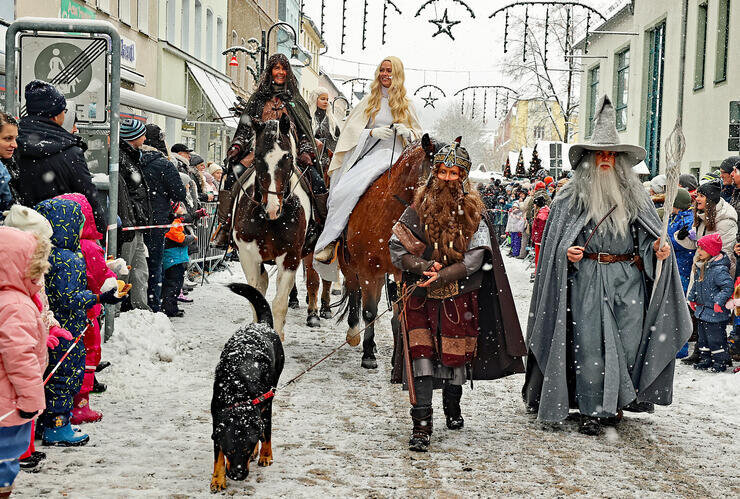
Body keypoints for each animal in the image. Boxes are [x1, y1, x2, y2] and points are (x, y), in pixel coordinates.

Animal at [212, 284, 288, 494]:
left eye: (245, 449)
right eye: (229, 450)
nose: (237, 475)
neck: (237, 390)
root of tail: (261, 324)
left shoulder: (265, 405)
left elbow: (266, 433)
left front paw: (265, 455)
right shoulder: (217, 420)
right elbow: (217, 456)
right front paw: (217, 478)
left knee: (264, 428)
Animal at [231, 114, 320, 340]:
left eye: (287, 157)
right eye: (257, 157)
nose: (272, 209)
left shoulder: (291, 256)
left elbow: (280, 303)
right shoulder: (248, 255)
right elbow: (255, 296)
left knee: (312, 280)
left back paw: (314, 314)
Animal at [340, 135, 442, 370]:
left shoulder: (400, 271)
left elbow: (399, 315)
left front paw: (398, 358)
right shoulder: (367, 270)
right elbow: (369, 310)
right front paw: (368, 355)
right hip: (349, 265)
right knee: (354, 290)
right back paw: (354, 333)